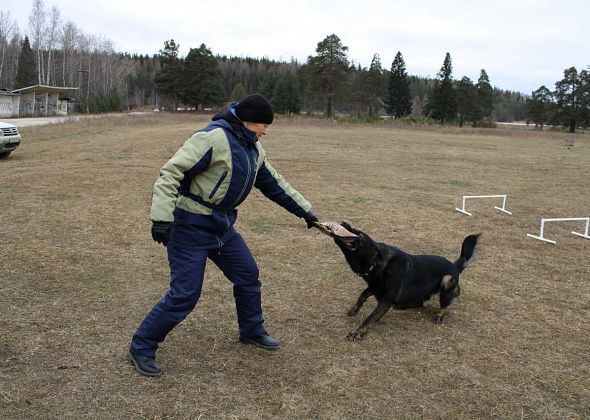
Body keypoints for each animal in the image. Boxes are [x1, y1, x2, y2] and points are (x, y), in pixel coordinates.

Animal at [332, 221, 480, 340]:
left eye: (359, 233)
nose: (343, 222)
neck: (379, 264)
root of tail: (455, 266)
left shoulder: (387, 299)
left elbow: (371, 317)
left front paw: (358, 332)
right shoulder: (376, 286)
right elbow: (363, 294)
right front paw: (354, 310)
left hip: (447, 280)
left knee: (444, 305)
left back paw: (439, 315)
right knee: (420, 303)